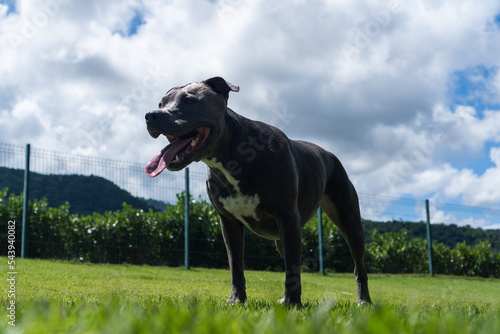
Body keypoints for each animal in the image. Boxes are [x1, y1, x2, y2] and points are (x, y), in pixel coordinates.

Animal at [145, 76, 372, 306]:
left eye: (189, 100)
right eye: (161, 104)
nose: (151, 115)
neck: (234, 155)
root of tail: (329, 153)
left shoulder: (287, 215)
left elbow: (292, 266)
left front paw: (292, 303)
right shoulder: (229, 222)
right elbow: (236, 264)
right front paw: (237, 299)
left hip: (349, 223)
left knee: (358, 266)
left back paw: (363, 301)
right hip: (282, 239)